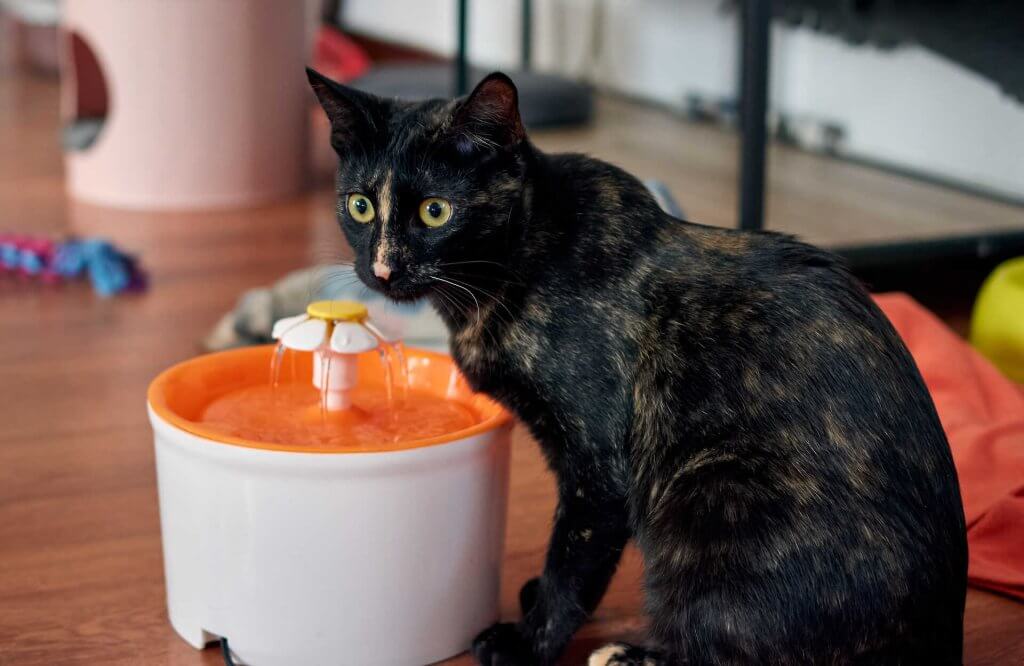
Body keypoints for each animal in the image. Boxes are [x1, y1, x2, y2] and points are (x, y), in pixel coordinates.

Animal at [307, 68, 962, 663]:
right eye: (360, 206)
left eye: (436, 212)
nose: (384, 268)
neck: (526, 253)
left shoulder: (599, 469)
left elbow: (573, 561)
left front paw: (526, 643)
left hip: (708, 493)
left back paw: (628, 655)